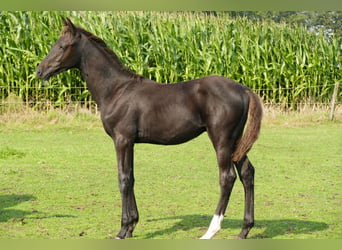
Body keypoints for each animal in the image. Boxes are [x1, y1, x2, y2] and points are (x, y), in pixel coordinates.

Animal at [36, 18, 262, 239]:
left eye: (62, 46)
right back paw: (244, 230)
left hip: (222, 140)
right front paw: (132, 225)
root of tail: (244, 89)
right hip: (236, 141)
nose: (40, 71)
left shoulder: (122, 139)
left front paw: (123, 230)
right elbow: (132, 177)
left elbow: (123, 179)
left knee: (227, 177)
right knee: (247, 173)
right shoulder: (130, 143)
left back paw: (210, 231)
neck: (116, 90)